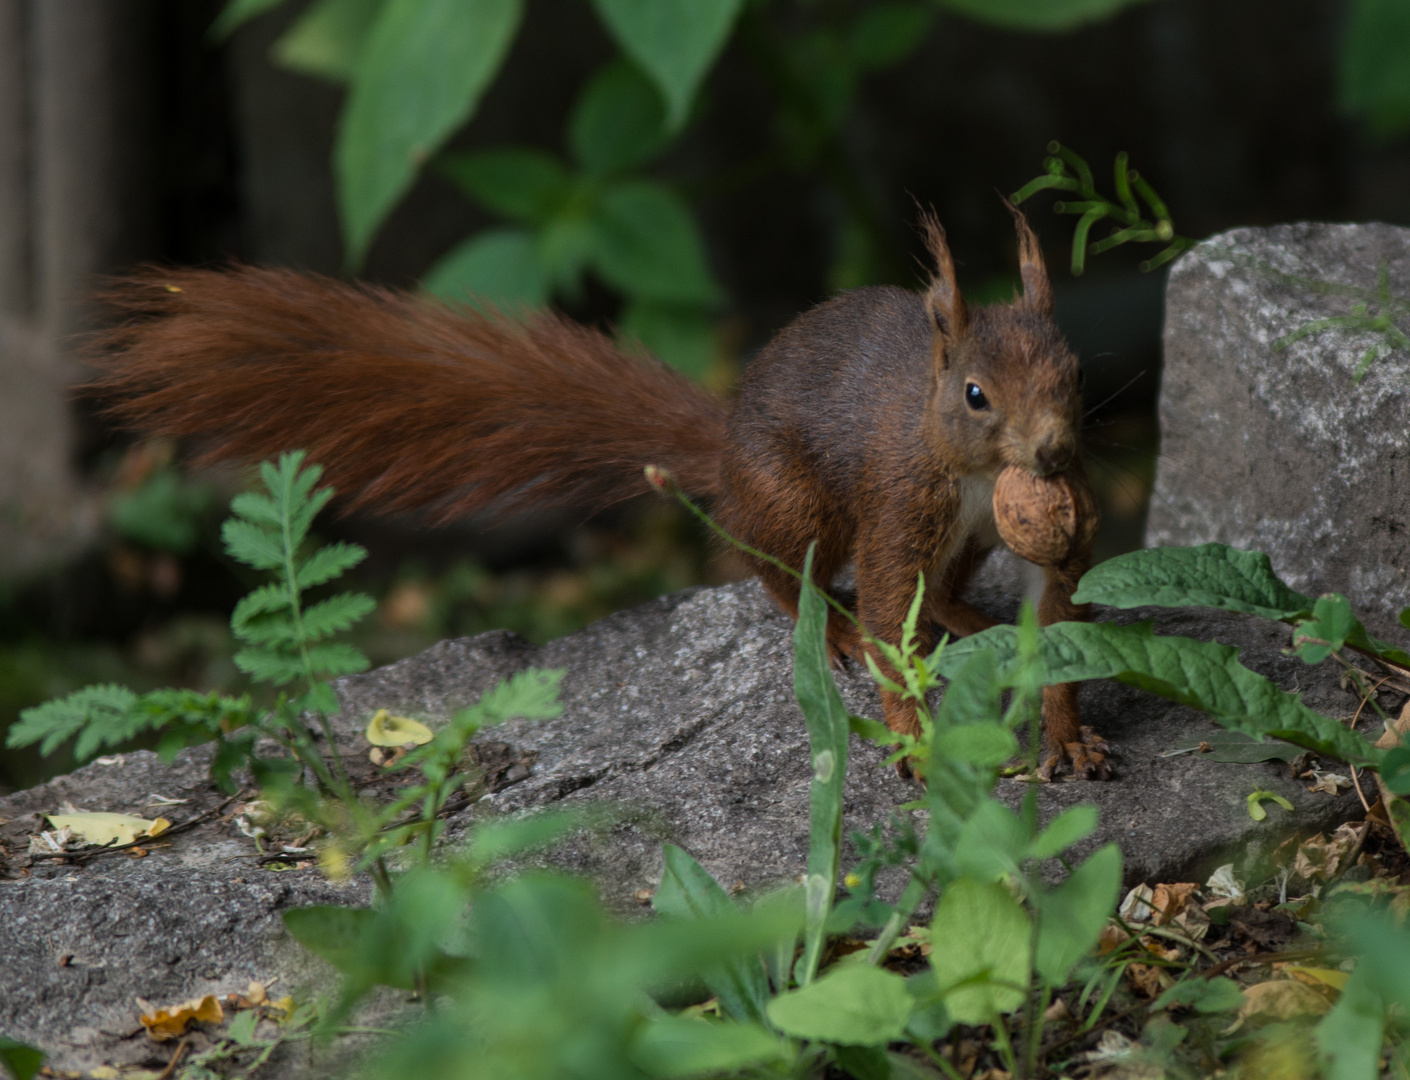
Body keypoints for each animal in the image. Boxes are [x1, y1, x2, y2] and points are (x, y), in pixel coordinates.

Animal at [93, 205, 1111, 778]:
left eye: (1073, 374)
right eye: (976, 395)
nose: (1055, 451)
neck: (978, 475)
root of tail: (724, 445)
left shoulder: (1042, 529)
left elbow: (1055, 615)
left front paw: (1066, 734)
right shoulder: (901, 502)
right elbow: (894, 598)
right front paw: (913, 737)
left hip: (955, 541)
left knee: (944, 590)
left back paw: (969, 621)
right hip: (793, 497)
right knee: (768, 564)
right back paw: (832, 629)